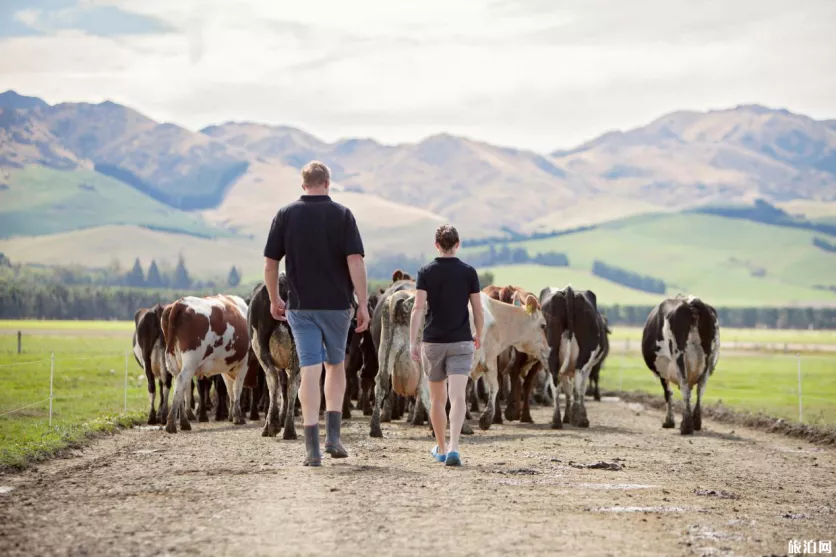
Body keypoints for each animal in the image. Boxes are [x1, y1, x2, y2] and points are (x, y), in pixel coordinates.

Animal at [160, 294, 250, 432]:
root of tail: (180, 304)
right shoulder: (243, 364)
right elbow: (237, 389)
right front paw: (238, 417)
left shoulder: (226, 367)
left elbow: (230, 389)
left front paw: (232, 415)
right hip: (191, 360)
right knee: (181, 381)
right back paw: (171, 424)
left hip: (174, 361)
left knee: (179, 385)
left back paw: (184, 422)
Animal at [540, 284, 604, 428]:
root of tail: (568, 290)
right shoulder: (588, 367)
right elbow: (579, 389)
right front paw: (577, 414)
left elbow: (567, 389)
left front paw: (567, 416)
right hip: (584, 358)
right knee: (577, 384)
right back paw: (580, 419)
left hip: (552, 355)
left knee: (555, 384)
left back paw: (556, 420)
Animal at [644, 296, 720, 434]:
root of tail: (691, 302)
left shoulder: (663, 371)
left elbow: (668, 394)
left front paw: (669, 421)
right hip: (710, 359)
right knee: (700, 389)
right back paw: (696, 422)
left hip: (678, 355)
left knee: (684, 387)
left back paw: (686, 426)